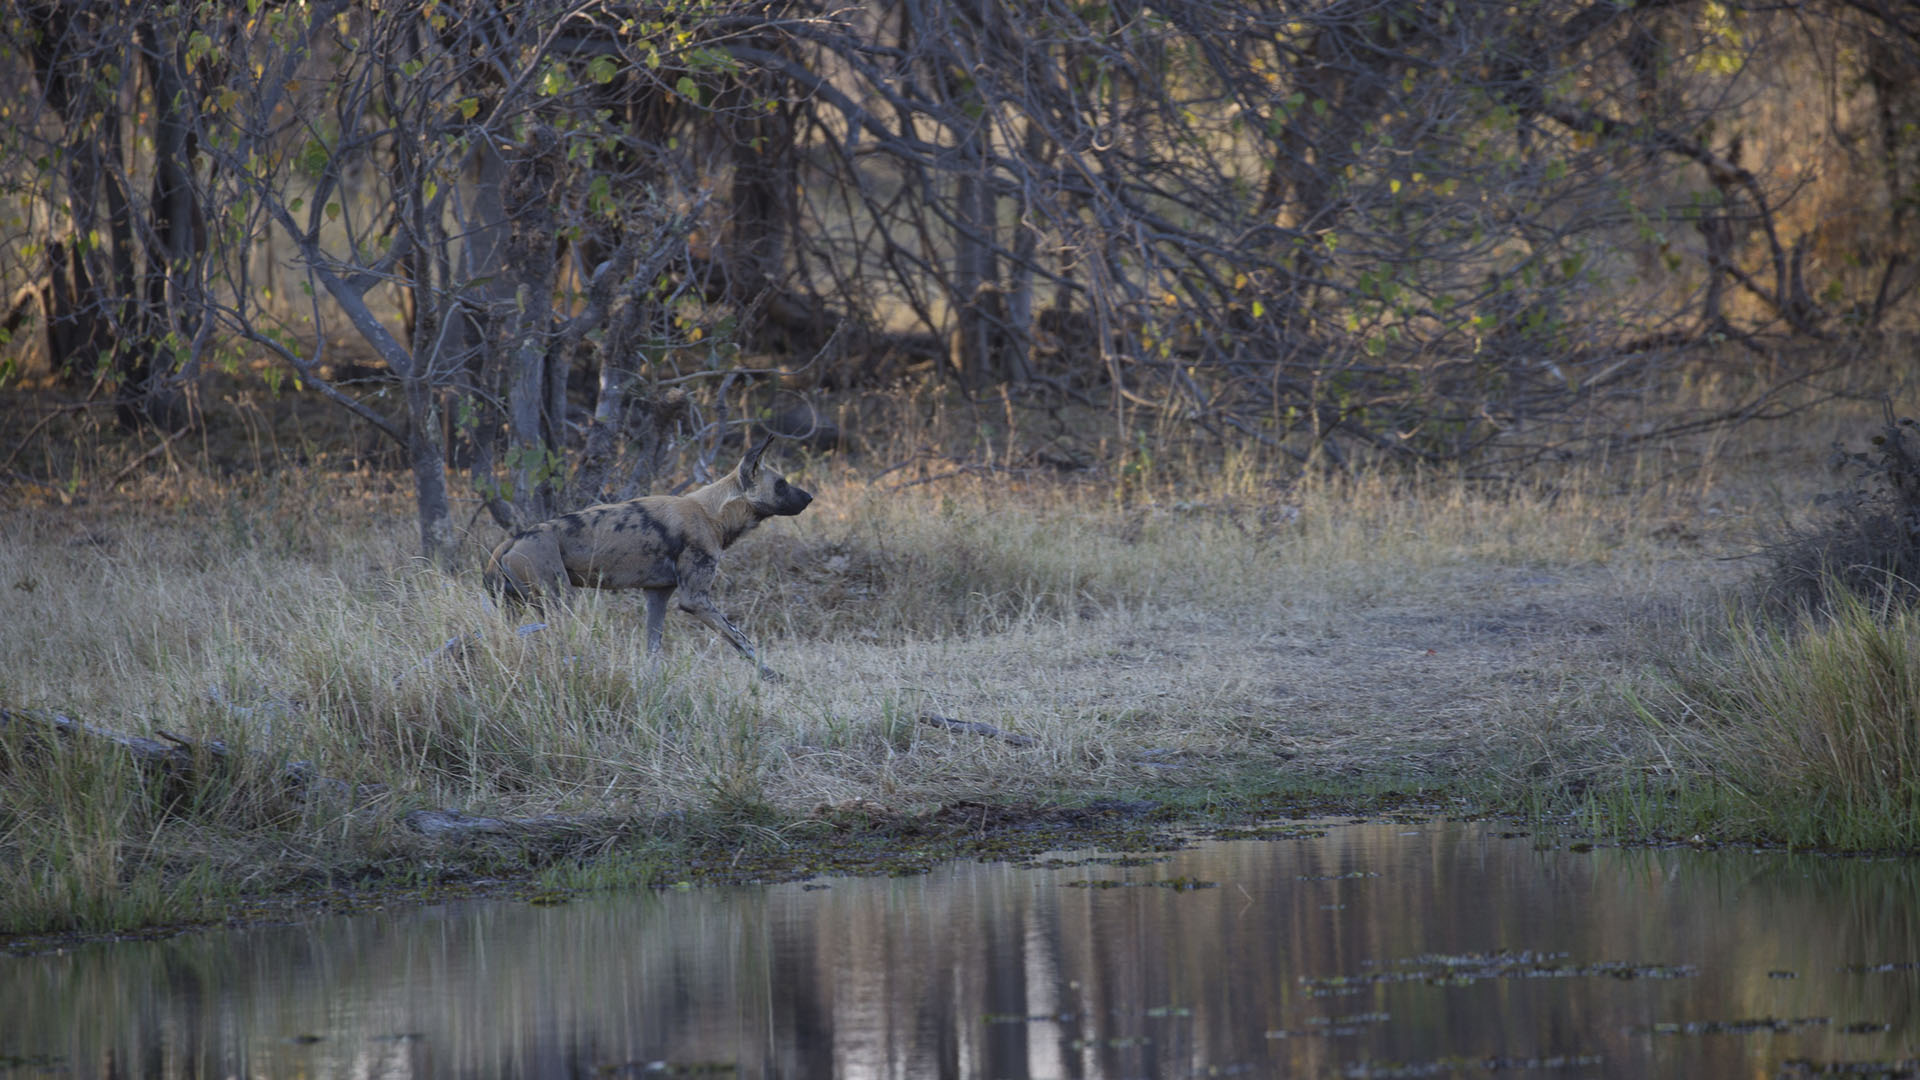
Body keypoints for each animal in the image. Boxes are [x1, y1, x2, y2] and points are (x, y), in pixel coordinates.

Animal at [483, 432, 814, 676]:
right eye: (781, 484)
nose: (810, 497)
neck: (714, 513)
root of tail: (510, 542)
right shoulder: (695, 600)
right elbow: (743, 641)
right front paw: (770, 675)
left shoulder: (658, 595)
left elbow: (652, 649)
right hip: (560, 602)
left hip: (515, 608)